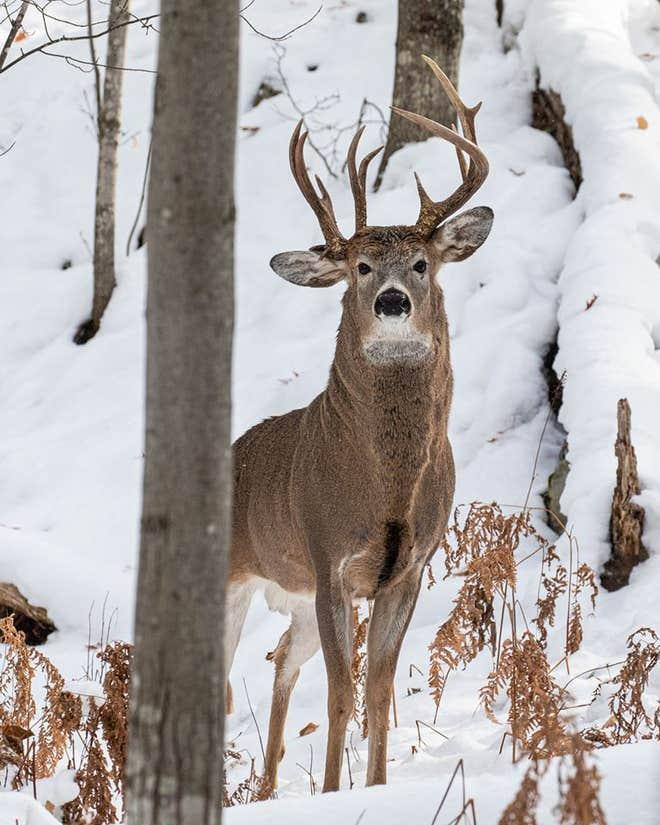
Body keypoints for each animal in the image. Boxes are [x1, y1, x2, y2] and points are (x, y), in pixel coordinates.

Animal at [227, 58, 490, 792]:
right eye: (360, 266)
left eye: (422, 263)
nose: (393, 301)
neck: (386, 489)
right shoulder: (328, 560)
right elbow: (342, 692)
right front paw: (332, 794)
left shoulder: (410, 567)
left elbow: (377, 688)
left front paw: (372, 787)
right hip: (235, 573)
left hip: (294, 597)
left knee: (281, 659)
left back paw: (267, 789)